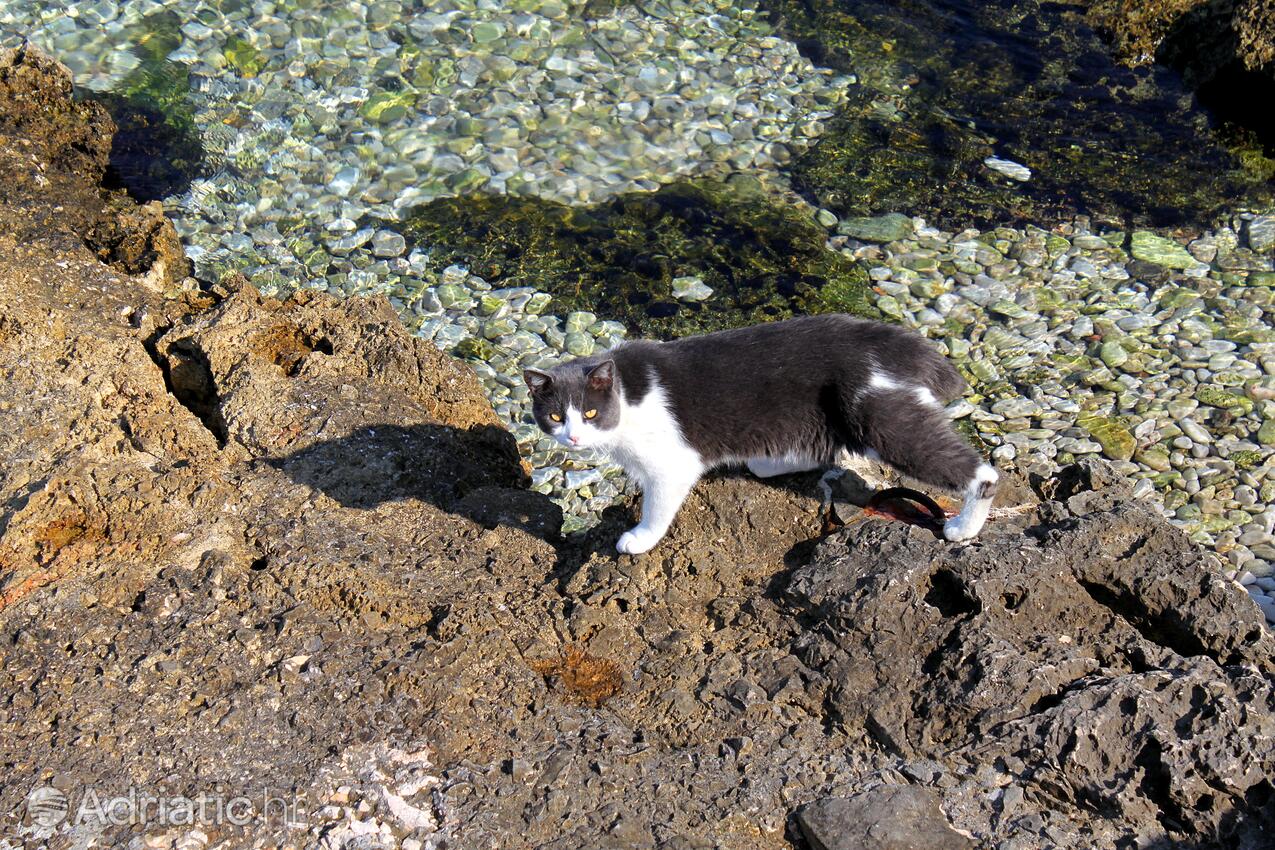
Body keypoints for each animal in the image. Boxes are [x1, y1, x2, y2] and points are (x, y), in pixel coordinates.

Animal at [522, 316, 999, 555]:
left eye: (589, 412)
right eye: (555, 416)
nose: (573, 439)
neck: (626, 394)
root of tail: (901, 343)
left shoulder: (672, 464)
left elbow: (657, 505)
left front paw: (638, 538)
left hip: (878, 415)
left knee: (983, 472)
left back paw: (964, 527)